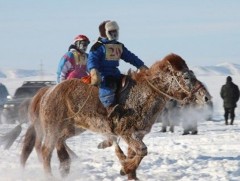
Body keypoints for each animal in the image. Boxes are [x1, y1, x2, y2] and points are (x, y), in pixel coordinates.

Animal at [20, 53, 212, 180]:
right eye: (186, 76)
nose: (206, 97)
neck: (143, 94)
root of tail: (47, 92)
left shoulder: (137, 134)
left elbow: (134, 153)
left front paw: (129, 172)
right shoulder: (127, 132)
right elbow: (142, 151)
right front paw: (125, 168)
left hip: (71, 128)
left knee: (59, 144)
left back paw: (67, 164)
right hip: (53, 128)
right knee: (45, 151)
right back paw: (51, 175)